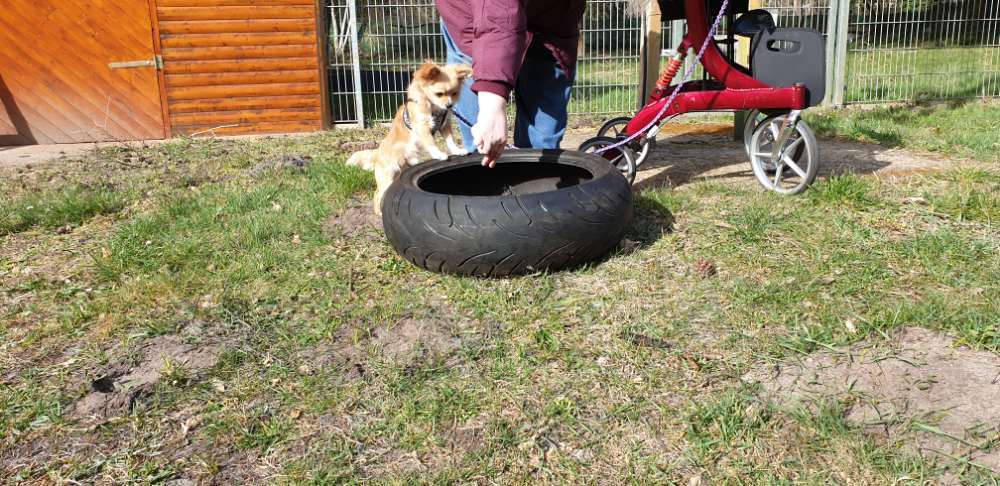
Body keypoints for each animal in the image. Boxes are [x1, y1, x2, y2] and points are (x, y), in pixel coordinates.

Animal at [348, 60, 472, 215]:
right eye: (439, 94)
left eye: (454, 93)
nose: (449, 105)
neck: (432, 107)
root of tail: (378, 152)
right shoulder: (421, 126)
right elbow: (430, 142)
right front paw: (438, 154)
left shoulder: (444, 125)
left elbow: (450, 141)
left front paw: (457, 150)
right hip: (388, 176)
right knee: (377, 194)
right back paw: (379, 213)